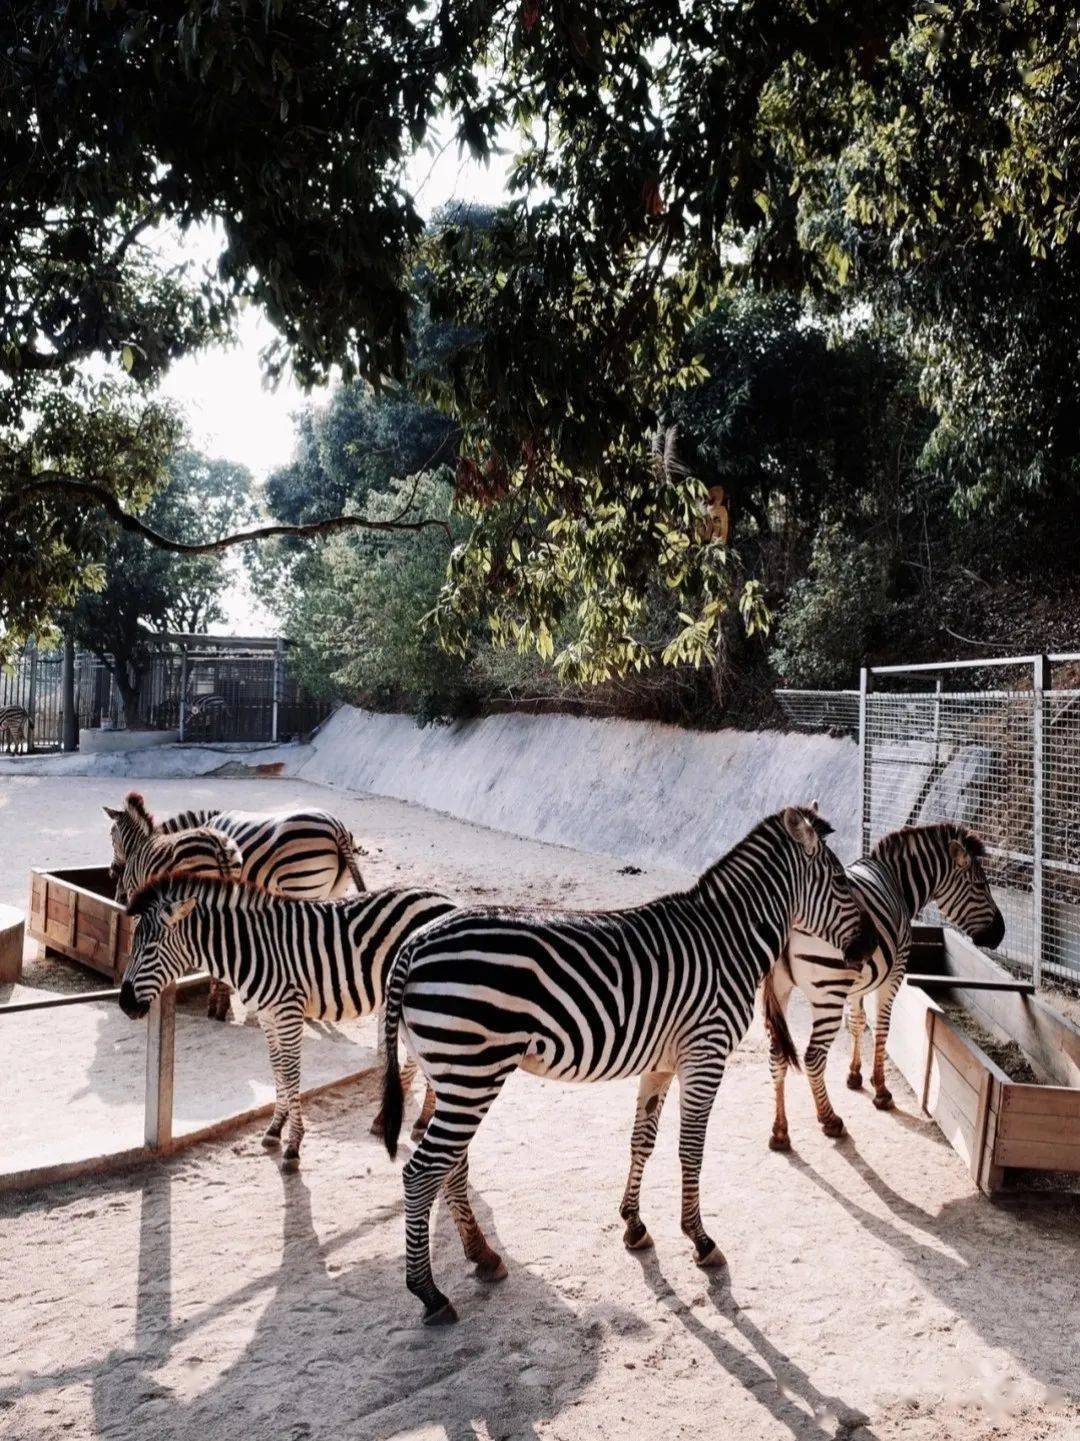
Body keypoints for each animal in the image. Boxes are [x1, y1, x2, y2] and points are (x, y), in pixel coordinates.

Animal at [118, 870, 455, 1164]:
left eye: (150, 948)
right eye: (133, 945)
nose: (123, 1004)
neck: (250, 949)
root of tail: (447, 900)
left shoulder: (288, 1012)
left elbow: (292, 1074)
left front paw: (293, 1145)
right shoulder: (267, 1016)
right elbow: (277, 1069)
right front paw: (274, 1130)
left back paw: (421, 1122)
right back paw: (409, 1120)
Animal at [377, 806, 876, 1319]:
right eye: (841, 880)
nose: (869, 948)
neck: (728, 942)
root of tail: (415, 942)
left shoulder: (662, 1063)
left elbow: (642, 1141)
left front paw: (633, 1225)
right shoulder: (705, 1054)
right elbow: (691, 1149)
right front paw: (699, 1240)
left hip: (453, 1075)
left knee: (451, 1165)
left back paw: (483, 1255)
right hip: (471, 1072)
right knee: (421, 1172)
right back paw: (430, 1294)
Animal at [755, 824, 1003, 1147]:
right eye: (980, 885)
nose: (1001, 933)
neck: (897, 882)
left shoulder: (856, 985)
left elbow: (858, 1023)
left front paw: (855, 1075)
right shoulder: (894, 975)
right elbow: (883, 1027)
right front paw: (881, 1090)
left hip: (781, 991)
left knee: (777, 1054)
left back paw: (780, 1131)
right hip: (827, 993)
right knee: (812, 1057)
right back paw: (829, 1119)